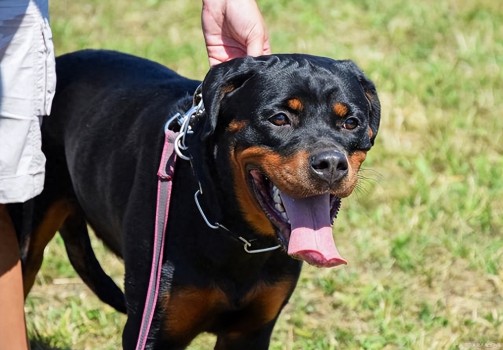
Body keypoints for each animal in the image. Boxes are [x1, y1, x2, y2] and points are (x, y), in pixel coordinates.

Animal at [19, 50, 382, 350]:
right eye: (279, 118)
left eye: (351, 122)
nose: (331, 163)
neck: (235, 234)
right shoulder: (153, 329)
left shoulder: (250, 332)